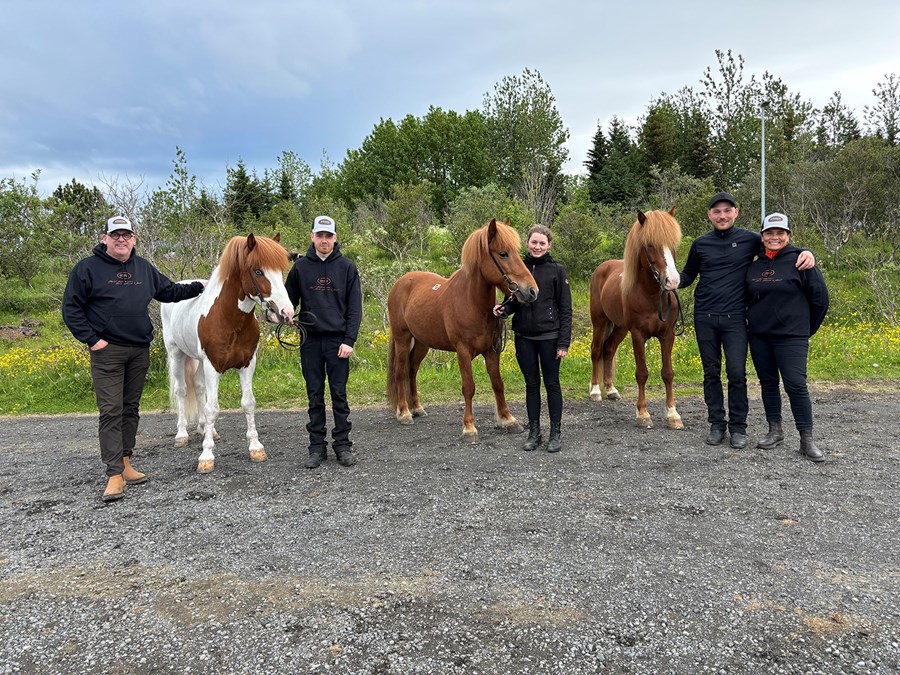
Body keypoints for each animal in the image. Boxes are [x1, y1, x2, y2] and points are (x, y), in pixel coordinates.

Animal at [158, 235, 292, 472]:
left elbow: (248, 403)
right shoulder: (213, 366)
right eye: (258, 271)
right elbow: (213, 408)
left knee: (199, 388)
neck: (229, 320)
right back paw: (182, 435)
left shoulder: (247, 364)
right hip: (176, 355)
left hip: (198, 361)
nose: (286, 312)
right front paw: (206, 456)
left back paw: (205, 429)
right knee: (182, 391)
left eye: (280, 270)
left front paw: (256, 447)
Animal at [384, 219, 536, 444]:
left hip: (422, 343)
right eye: (503, 253)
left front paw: (508, 420)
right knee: (401, 370)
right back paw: (404, 412)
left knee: (412, 369)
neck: (472, 303)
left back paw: (417, 408)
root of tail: (401, 282)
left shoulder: (491, 350)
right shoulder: (463, 351)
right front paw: (469, 428)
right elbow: (468, 387)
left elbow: (498, 383)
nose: (532, 291)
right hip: (402, 338)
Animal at [588, 207, 684, 428]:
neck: (651, 296)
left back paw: (611, 390)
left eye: (673, 243)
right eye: (650, 244)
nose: (673, 281)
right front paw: (643, 414)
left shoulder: (667, 335)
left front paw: (672, 414)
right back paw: (596, 390)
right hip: (600, 322)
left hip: (620, 327)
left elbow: (668, 373)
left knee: (609, 349)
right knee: (596, 351)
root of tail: (602, 268)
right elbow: (642, 373)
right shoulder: (638, 335)